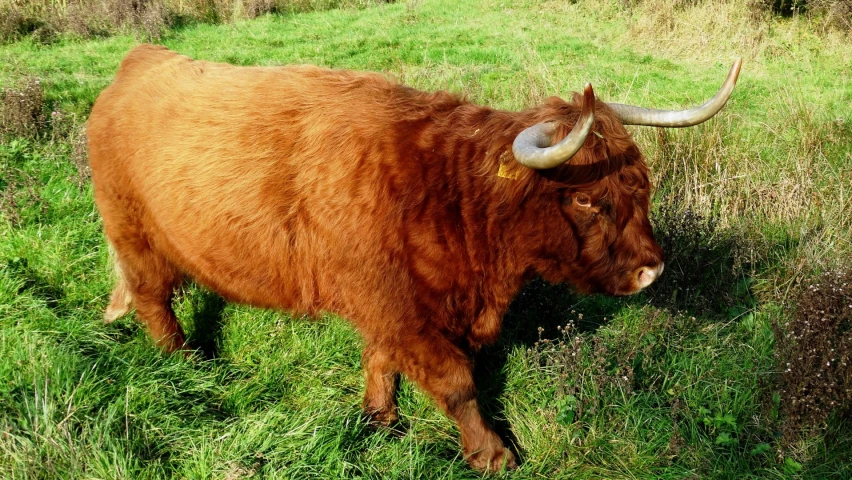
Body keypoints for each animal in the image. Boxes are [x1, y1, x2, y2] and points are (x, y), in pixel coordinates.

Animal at [88, 46, 740, 472]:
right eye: (584, 198)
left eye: (643, 182)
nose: (651, 268)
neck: (446, 196)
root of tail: (137, 61)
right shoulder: (402, 311)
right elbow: (456, 383)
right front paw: (493, 454)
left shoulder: (388, 308)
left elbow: (381, 362)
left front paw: (380, 420)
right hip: (135, 234)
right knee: (152, 299)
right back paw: (186, 366)